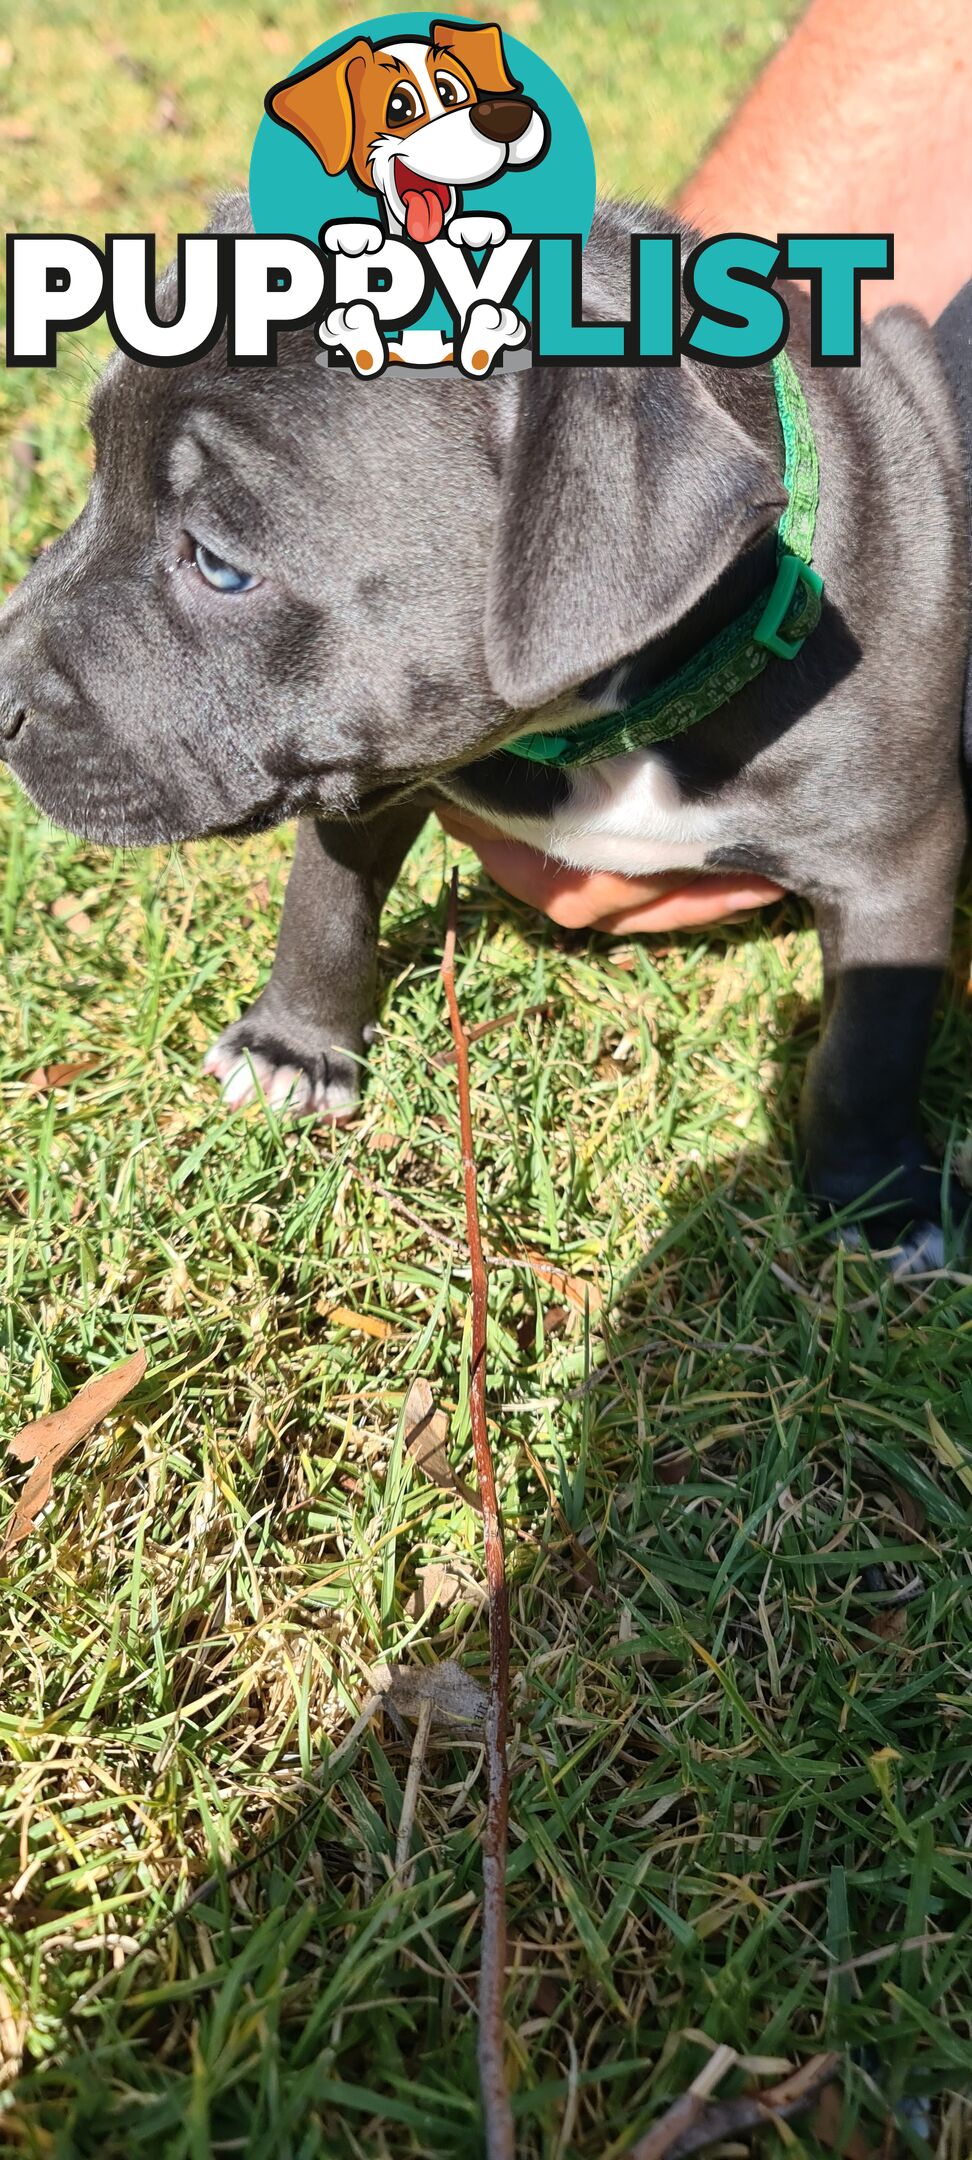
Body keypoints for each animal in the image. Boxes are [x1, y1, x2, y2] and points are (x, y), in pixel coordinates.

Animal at [0, 203, 967, 1261]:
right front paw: (294, 1044)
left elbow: (867, 1047)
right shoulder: (362, 764)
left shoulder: (896, 862)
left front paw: (878, 1200)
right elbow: (323, 905)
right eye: (96, 479)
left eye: (219, 566)